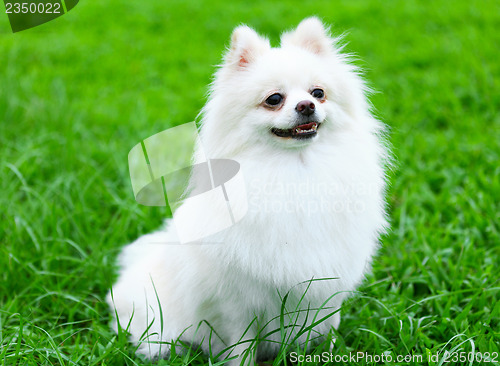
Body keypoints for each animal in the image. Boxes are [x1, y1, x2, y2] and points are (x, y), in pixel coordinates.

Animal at [108, 17, 390, 366]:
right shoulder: (238, 302)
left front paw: (330, 352)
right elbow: (242, 343)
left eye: (319, 93)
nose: (307, 105)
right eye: (274, 99)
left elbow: (329, 326)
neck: (296, 169)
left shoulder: (327, 285)